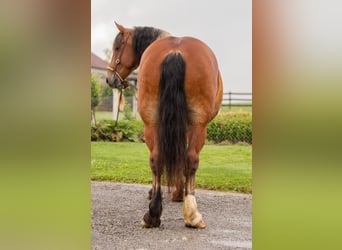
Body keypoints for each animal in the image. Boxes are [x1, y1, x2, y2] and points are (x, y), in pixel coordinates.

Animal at [107, 23, 224, 229]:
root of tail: (175, 51)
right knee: (190, 159)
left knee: (156, 159)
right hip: (198, 125)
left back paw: (153, 214)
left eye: (117, 47)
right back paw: (192, 214)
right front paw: (179, 192)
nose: (109, 78)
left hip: (152, 123)